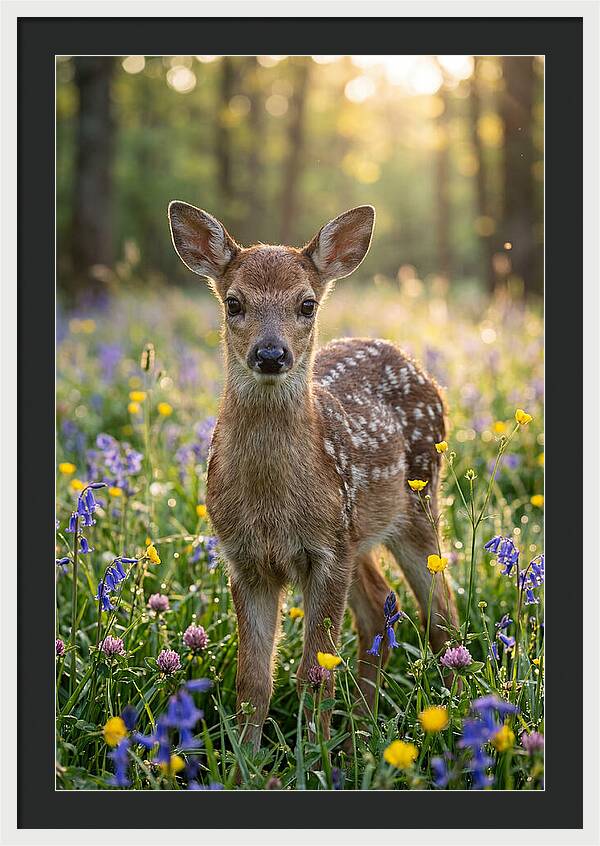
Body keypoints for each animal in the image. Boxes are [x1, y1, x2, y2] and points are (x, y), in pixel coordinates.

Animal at [168, 201, 457, 751]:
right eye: (233, 303)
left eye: (306, 304)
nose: (271, 354)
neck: (271, 506)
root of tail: (413, 363)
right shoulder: (245, 559)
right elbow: (253, 679)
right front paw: (246, 759)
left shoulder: (325, 552)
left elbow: (314, 672)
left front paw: (313, 756)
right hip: (358, 533)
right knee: (378, 608)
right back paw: (361, 732)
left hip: (416, 504)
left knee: (442, 616)